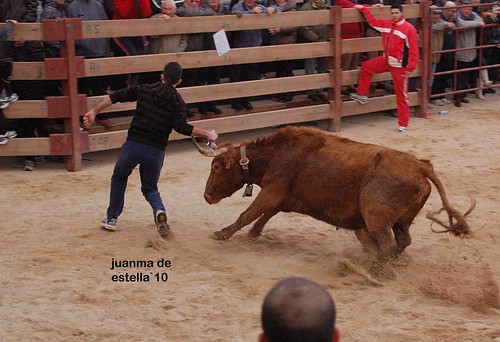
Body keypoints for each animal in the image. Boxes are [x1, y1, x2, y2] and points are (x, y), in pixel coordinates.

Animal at [193, 125, 474, 270]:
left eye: (216, 167)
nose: (206, 195)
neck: (277, 153)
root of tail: (421, 166)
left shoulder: (272, 192)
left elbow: (248, 214)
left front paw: (221, 233)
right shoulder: (282, 196)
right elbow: (265, 215)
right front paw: (254, 233)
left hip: (377, 216)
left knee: (386, 244)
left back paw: (370, 271)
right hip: (402, 220)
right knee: (402, 241)